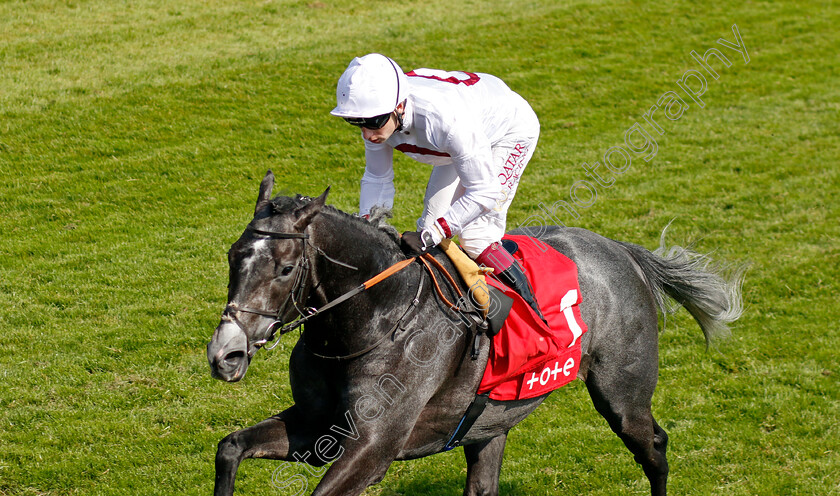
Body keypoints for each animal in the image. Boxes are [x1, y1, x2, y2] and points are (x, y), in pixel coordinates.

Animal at [207, 171, 744, 496]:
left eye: (284, 268)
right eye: (232, 256)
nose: (225, 354)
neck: (373, 320)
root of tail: (620, 248)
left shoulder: (372, 446)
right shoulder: (319, 428)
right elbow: (230, 446)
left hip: (623, 394)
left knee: (654, 446)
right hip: (490, 422)